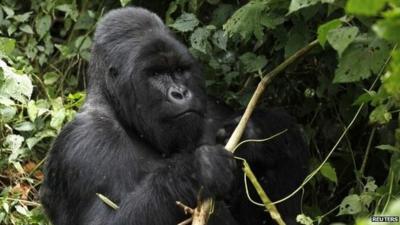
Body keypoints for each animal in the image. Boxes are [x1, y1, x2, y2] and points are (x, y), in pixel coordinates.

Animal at [40, 6, 308, 225]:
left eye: (179, 70)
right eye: (156, 74)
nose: (180, 93)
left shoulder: (212, 109)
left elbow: (283, 209)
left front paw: (252, 134)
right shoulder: (82, 144)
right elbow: (101, 221)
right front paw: (196, 171)